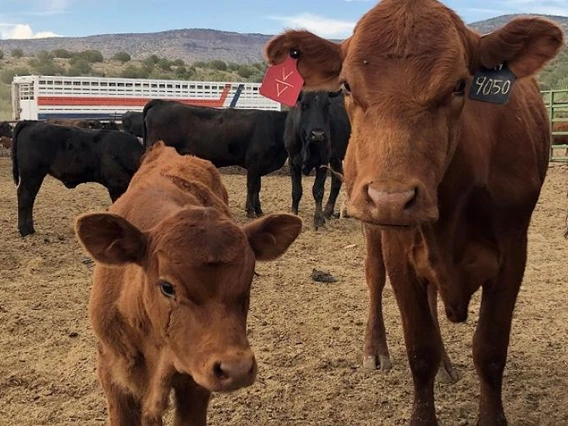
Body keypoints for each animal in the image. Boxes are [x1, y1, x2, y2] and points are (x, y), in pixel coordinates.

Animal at [13, 120, 143, 236]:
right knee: (25, 196)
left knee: (30, 197)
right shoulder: (117, 184)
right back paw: (25, 230)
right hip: (31, 174)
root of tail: (31, 123)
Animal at [142, 99, 288, 216]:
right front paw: (250, 211)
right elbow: (251, 186)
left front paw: (259, 211)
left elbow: (258, 187)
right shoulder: (254, 162)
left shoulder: (259, 165)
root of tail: (162, 102)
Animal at [284, 90, 350, 230]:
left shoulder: (322, 162)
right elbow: (296, 191)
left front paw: (318, 219)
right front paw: (293, 215)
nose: (318, 134)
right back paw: (328, 212)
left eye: (327, 105)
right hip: (335, 157)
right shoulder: (292, 162)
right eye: (304, 105)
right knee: (337, 180)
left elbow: (318, 190)